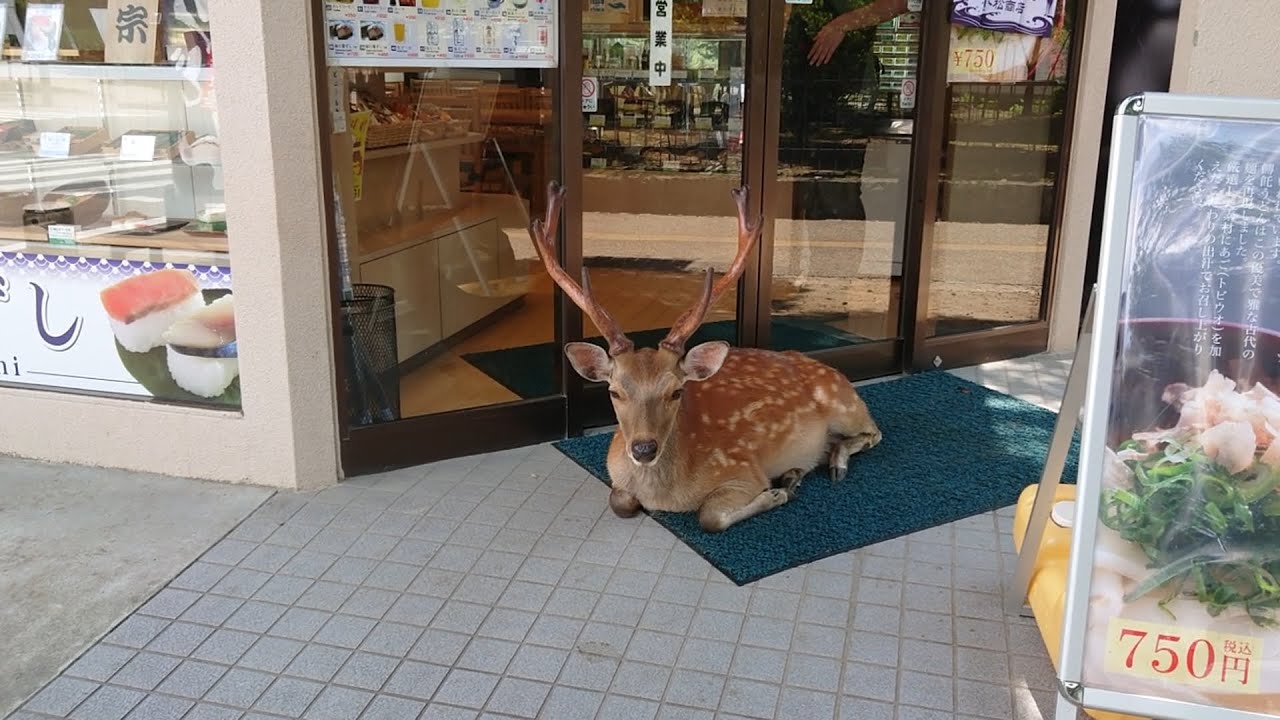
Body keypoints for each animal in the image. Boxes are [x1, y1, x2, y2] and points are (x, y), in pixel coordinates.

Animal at [528, 181, 882, 533]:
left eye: (676, 392)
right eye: (614, 392)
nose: (643, 449)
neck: (667, 496)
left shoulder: (744, 470)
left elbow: (710, 517)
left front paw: (775, 494)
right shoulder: (615, 474)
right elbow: (621, 502)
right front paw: (784, 486)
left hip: (845, 404)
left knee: (873, 432)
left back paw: (831, 467)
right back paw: (796, 472)